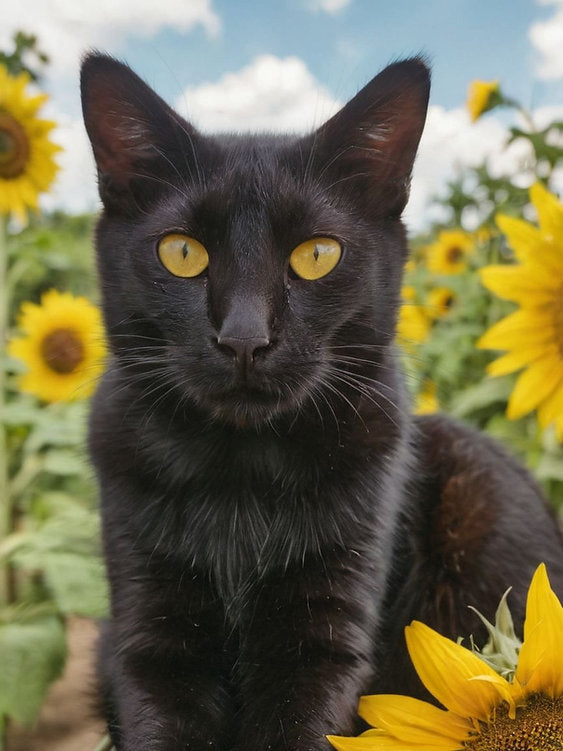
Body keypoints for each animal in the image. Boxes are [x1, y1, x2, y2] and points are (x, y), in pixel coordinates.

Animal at [80, 57, 563, 751]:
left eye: (316, 255)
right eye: (182, 252)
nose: (245, 338)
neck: (242, 473)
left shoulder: (324, 638)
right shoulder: (148, 638)